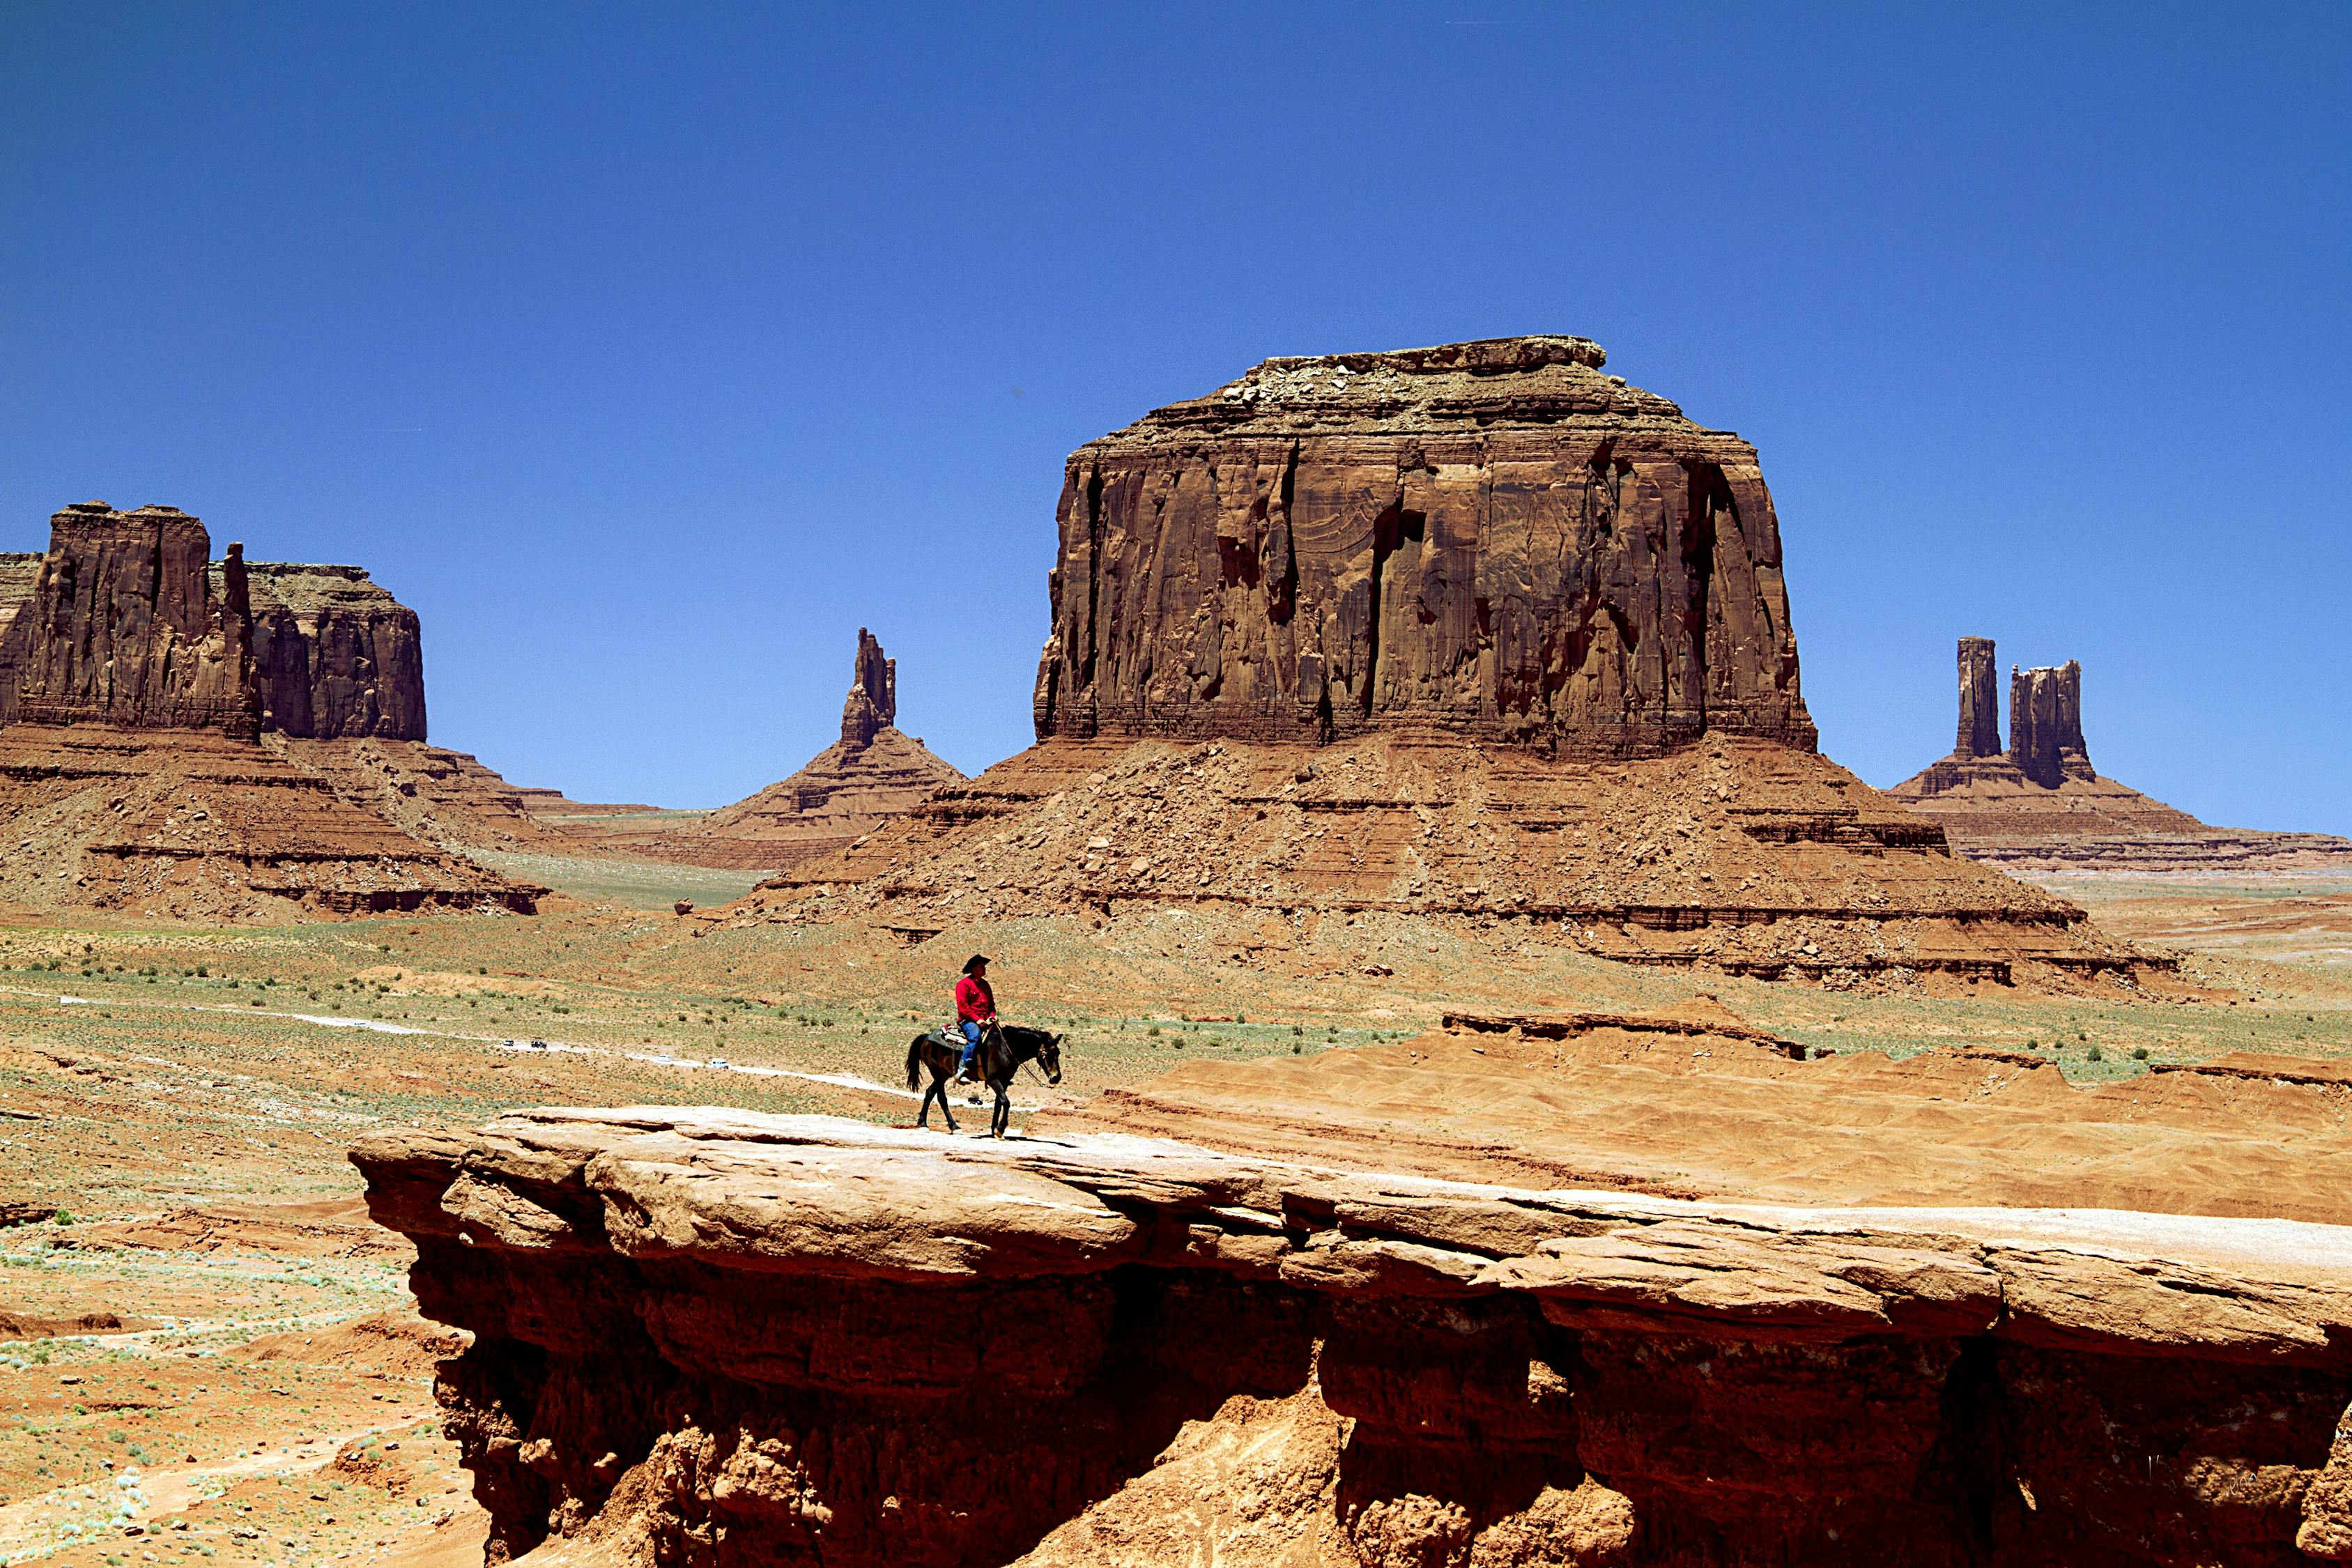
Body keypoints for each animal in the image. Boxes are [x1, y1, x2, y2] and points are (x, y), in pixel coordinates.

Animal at [907, 1020, 1068, 1142]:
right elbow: (1006, 1102)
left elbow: (998, 1104)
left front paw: (994, 1129)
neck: (1005, 1048)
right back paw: (948, 1127)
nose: (1056, 1077)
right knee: (941, 1098)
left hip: (942, 1075)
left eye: (1058, 1053)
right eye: (1046, 1054)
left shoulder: (1004, 1081)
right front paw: (1000, 1129)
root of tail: (927, 1038)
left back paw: (928, 1124)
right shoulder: (993, 1079)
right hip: (939, 1074)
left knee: (930, 1093)